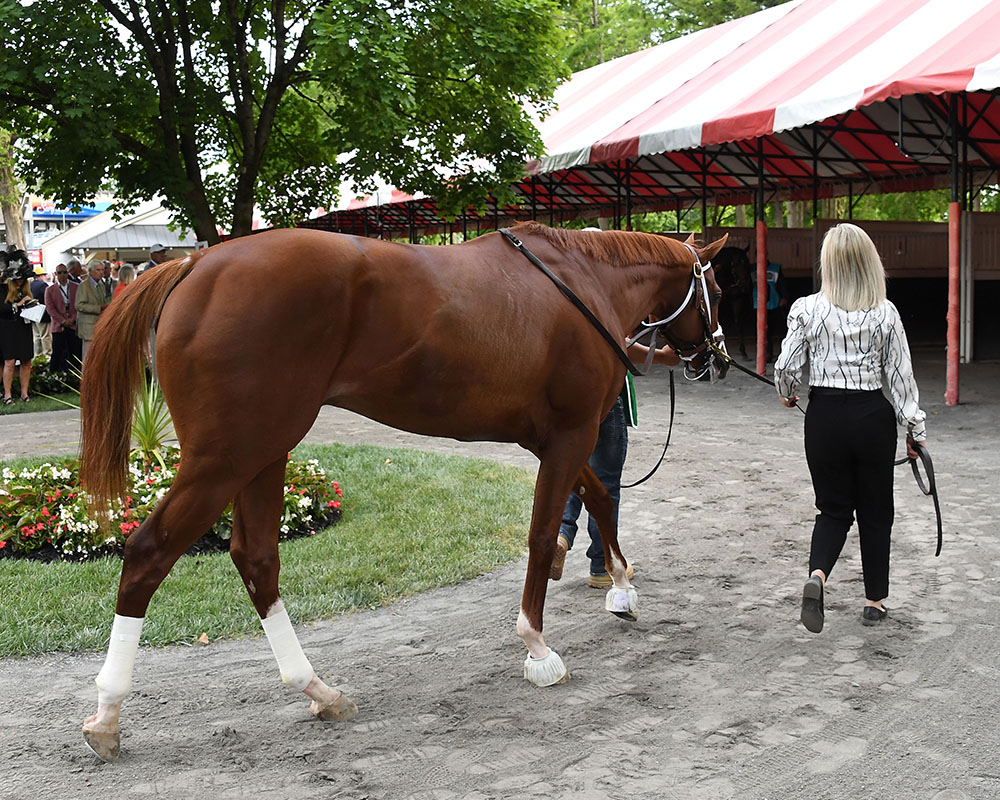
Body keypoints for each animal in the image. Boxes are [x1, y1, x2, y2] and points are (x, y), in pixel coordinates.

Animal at [78, 222, 728, 760]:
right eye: (718, 289)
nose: (716, 357)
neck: (581, 282)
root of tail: (195, 264)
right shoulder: (571, 434)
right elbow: (545, 534)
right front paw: (538, 649)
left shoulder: (551, 439)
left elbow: (598, 498)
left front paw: (620, 586)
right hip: (226, 458)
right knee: (149, 553)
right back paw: (107, 715)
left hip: (262, 451)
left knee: (256, 558)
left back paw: (319, 690)